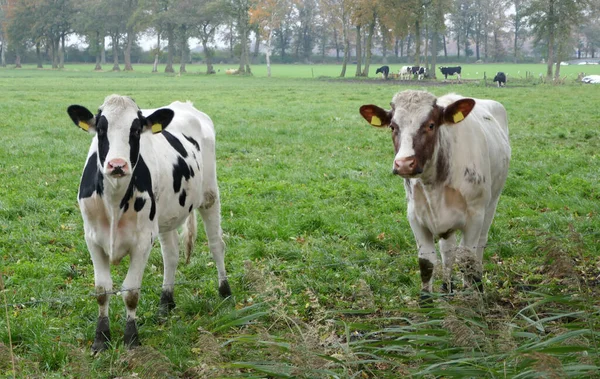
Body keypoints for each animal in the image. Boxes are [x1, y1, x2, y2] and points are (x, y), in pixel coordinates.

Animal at [67, 94, 232, 354]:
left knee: (217, 245)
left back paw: (225, 292)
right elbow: (102, 290)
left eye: (135, 131)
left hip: (209, 195)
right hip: (166, 216)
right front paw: (101, 338)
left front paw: (131, 338)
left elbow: (131, 292)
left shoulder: (143, 241)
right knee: (171, 255)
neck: (114, 201)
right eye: (101, 130)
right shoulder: (92, 238)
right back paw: (166, 302)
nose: (117, 165)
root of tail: (185, 105)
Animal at [360, 91, 510, 300]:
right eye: (392, 126)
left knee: (479, 246)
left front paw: (473, 299)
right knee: (448, 250)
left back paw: (476, 286)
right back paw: (447, 287)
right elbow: (427, 263)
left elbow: (467, 260)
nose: (404, 163)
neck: (434, 184)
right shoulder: (415, 217)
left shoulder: (475, 215)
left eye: (431, 125)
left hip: (491, 203)